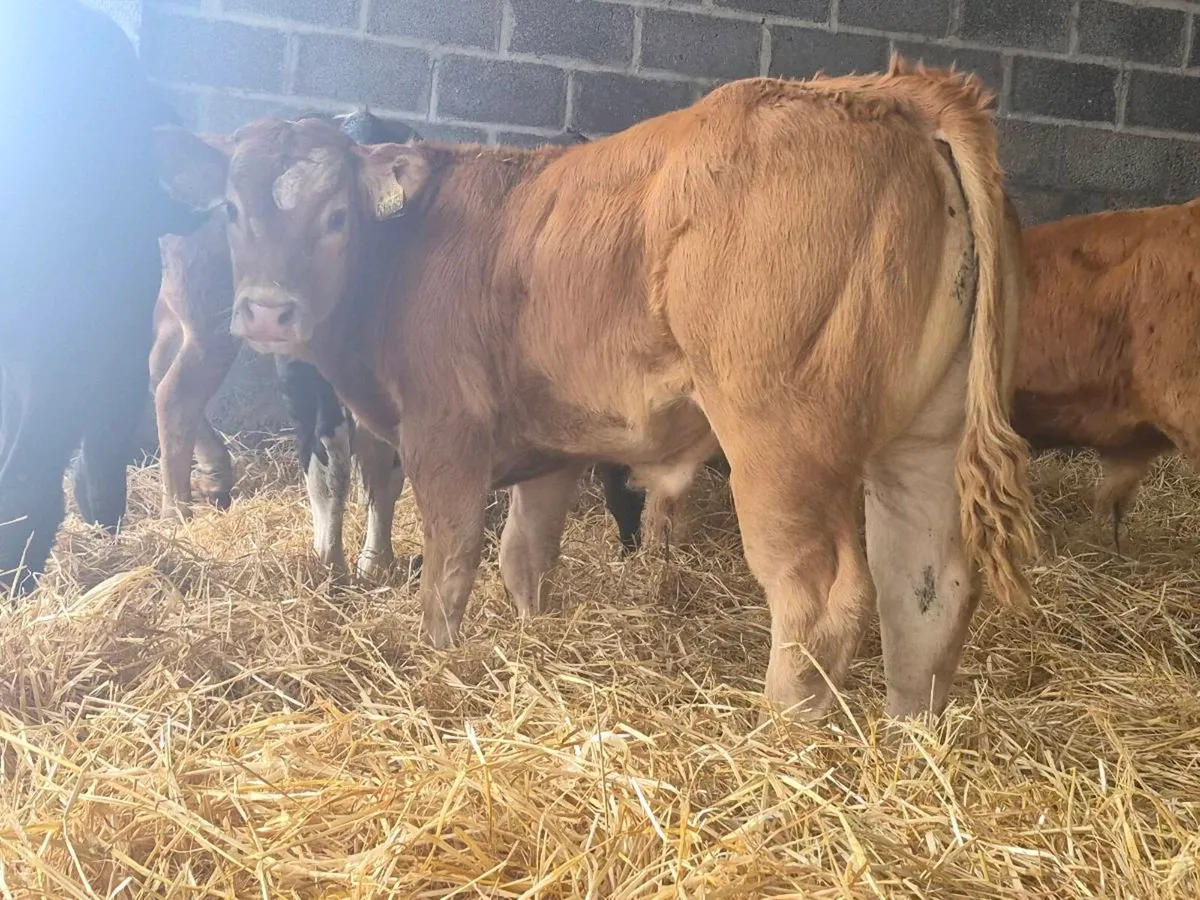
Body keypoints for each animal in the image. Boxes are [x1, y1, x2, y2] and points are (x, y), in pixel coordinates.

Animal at [153, 57, 1036, 720]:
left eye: (337, 216)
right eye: (231, 209)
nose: (266, 311)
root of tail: (885, 91)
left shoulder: (445, 436)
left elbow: (450, 566)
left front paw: (439, 659)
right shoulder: (550, 446)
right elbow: (524, 557)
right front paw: (532, 640)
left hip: (781, 440)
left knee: (821, 597)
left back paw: (778, 739)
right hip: (926, 436)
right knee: (926, 587)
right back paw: (907, 744)